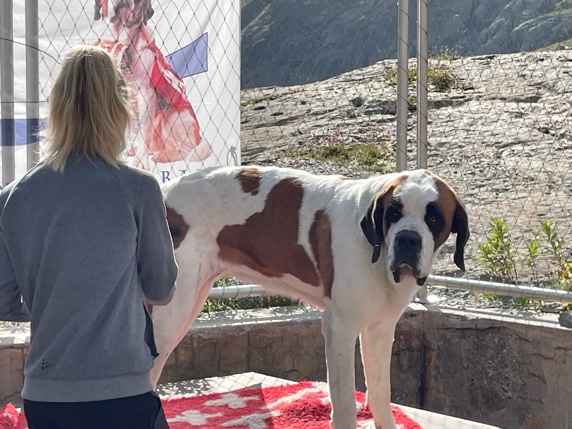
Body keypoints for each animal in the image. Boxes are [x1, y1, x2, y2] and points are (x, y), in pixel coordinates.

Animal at [151, 165, 470, 428]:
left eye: (433, 217)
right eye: (393, 212)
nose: (407, 239)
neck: (376, 250)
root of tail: (162, 193)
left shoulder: (380, 328)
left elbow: (380, 390)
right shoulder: (340, 329)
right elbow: (345, 403)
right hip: (170, 314)